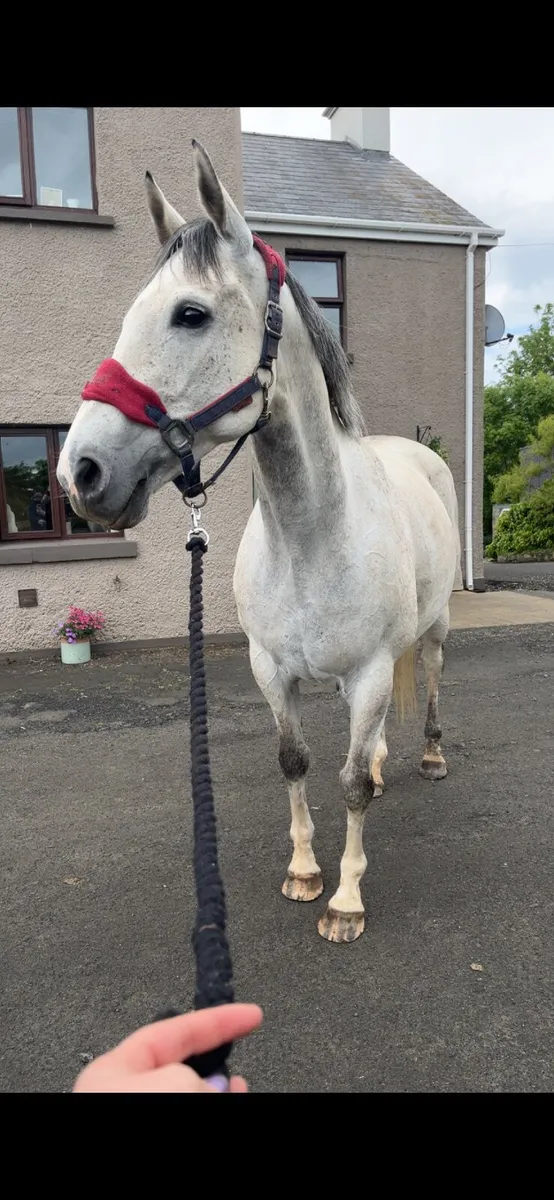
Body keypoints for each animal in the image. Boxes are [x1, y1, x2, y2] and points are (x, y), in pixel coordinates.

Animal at [58, 141, 461, 944]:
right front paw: (305, 872)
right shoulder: (271, 670)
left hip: (429, 631)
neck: (310, 538)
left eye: (190, 314)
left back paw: (428, 757)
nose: (79, 472)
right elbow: (297, 761)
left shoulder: (371, 669)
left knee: (429, 675)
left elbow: (344, 784)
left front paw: (346, 901)